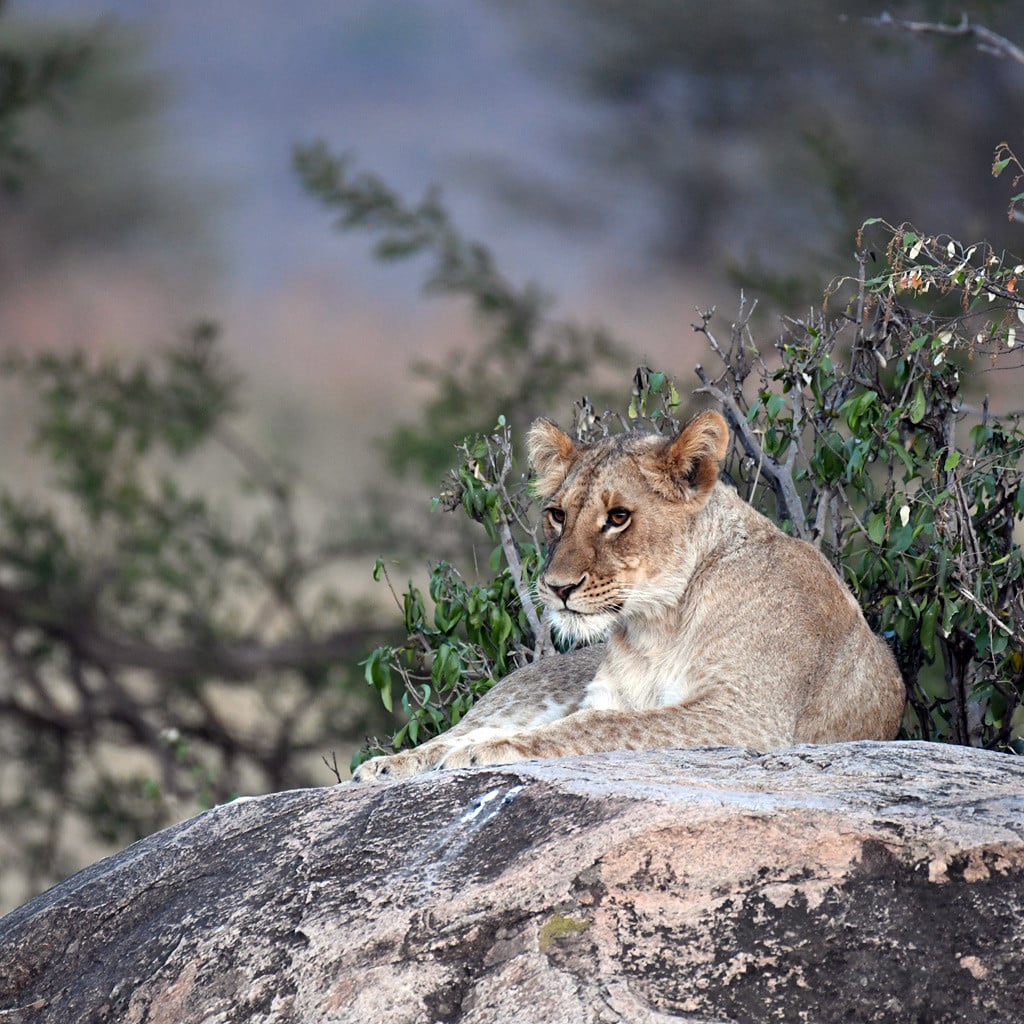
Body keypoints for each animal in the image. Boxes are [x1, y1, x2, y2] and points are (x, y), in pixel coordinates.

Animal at [352, 410, 905, 782]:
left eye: (618, 517)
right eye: (557, 515)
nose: (557, 588)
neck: (660, 622)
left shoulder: (747, 719)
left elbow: (600, 726)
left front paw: (491, 751)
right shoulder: (614, 695)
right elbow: (593, 719)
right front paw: (454, 752)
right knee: (459, 729)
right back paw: (386, 765)